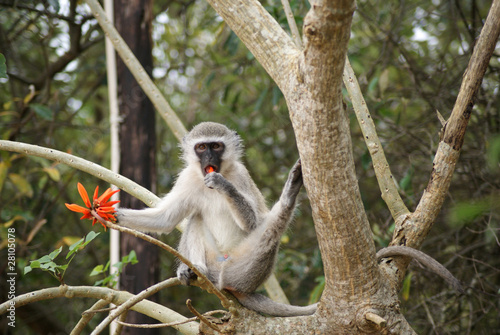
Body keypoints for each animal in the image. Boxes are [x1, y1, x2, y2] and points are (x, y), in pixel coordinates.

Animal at [115, 122, 462, 318]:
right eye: (201, 148)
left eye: (216, 146)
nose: (210, 160)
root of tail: (226, 278)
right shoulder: (189, 177)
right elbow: (166, 218)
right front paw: (111, 214)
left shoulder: (241, 175)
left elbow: (253, 223)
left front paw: (223, 186)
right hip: (217, 260)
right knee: (195, 219)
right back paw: (192, 269)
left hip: (243, 268)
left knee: (266, 233)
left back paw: (288, 198)